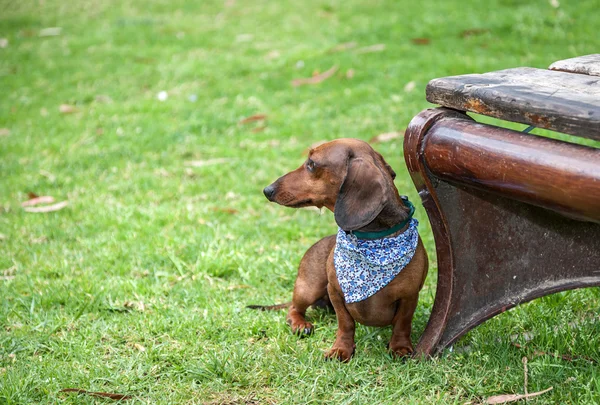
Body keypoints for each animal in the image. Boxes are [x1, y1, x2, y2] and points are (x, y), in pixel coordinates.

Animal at [258, 138, 426, 360]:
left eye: (311, 163)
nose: (267, 190)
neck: (371, 242)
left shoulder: (409, 296)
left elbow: (402, 323)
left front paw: (400, 347)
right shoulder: (335, 291)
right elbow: (345, 323)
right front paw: (341, 349)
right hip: (308, 287)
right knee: (293, 309)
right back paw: (301, 325)